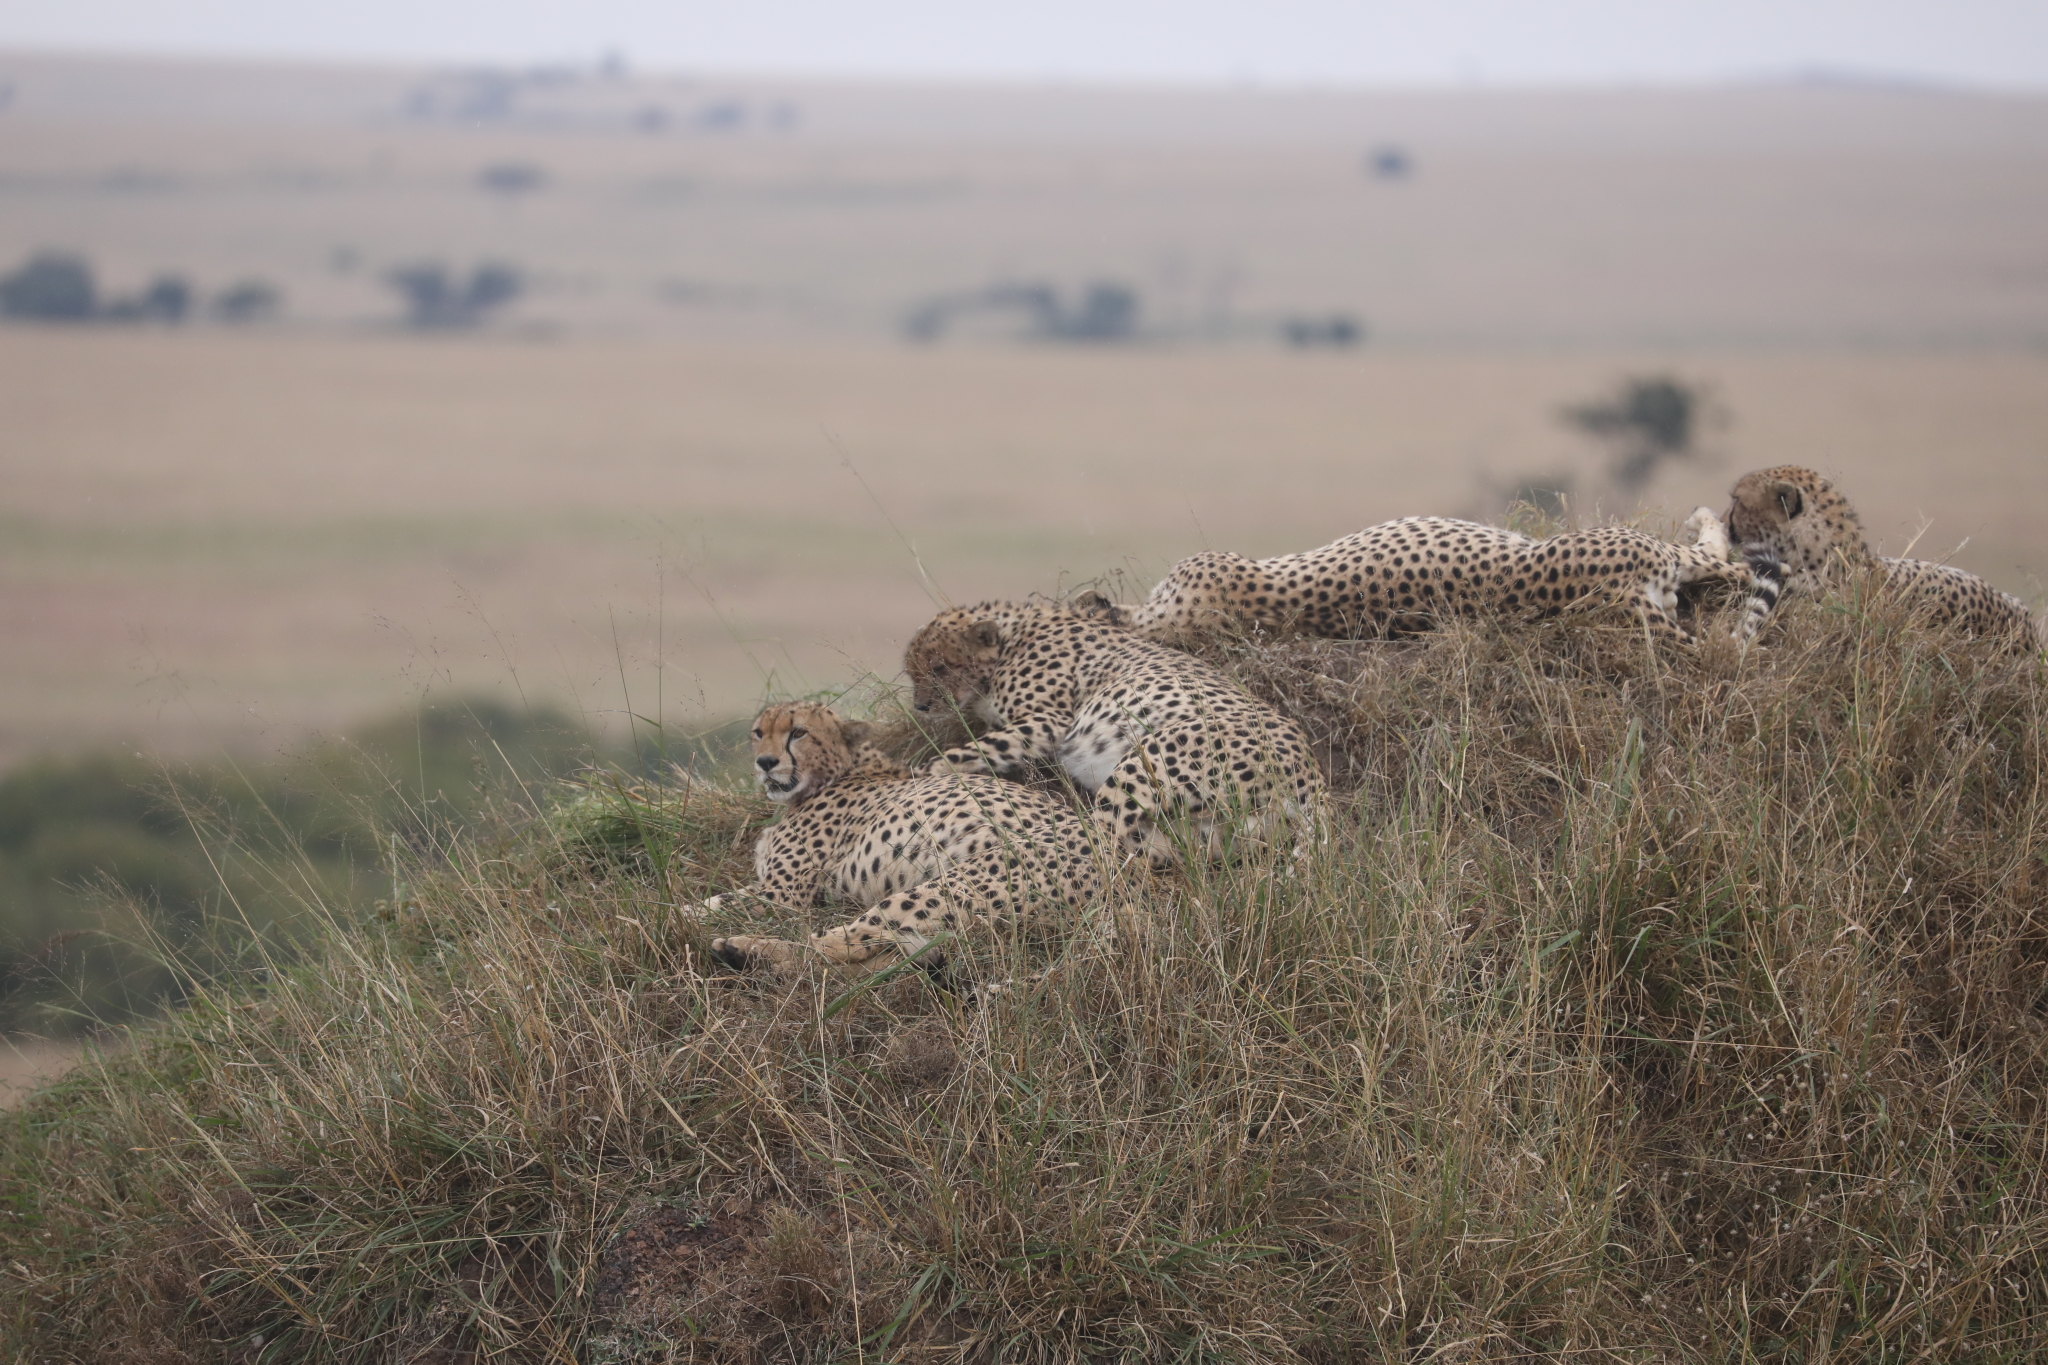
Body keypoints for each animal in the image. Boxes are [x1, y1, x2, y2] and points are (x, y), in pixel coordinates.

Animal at [712, 699, 1114, 978]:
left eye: (798, 733)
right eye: (758, 733)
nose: (765, 763)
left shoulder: (781, 895)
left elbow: (710, 906)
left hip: (952, 885)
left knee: (833, 946)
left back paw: (744, 950)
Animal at [901, 601, 1318, 871]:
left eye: (939, 667)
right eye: (912, 672)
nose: (921, 706)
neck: (1010, 638)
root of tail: (1310, 770)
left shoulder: (1051, 721)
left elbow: (976, 750)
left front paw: (924, 774)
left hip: (1147, 755)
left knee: (1102, 837)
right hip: (1217, 827)